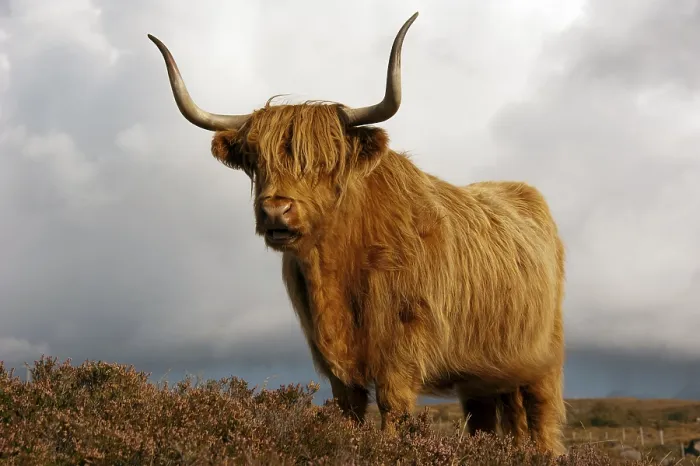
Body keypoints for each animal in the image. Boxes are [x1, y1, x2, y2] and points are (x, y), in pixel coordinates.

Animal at [148, 12, 567, 454]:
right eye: (255, 160)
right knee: (488, 420)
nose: (276, 210)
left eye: (326, 161)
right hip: (483, 375)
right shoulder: (331, 356)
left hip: (543, 361)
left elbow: (392, 407)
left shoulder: (402, 346)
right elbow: (347, 410)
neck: (335, 268)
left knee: (541, 417)